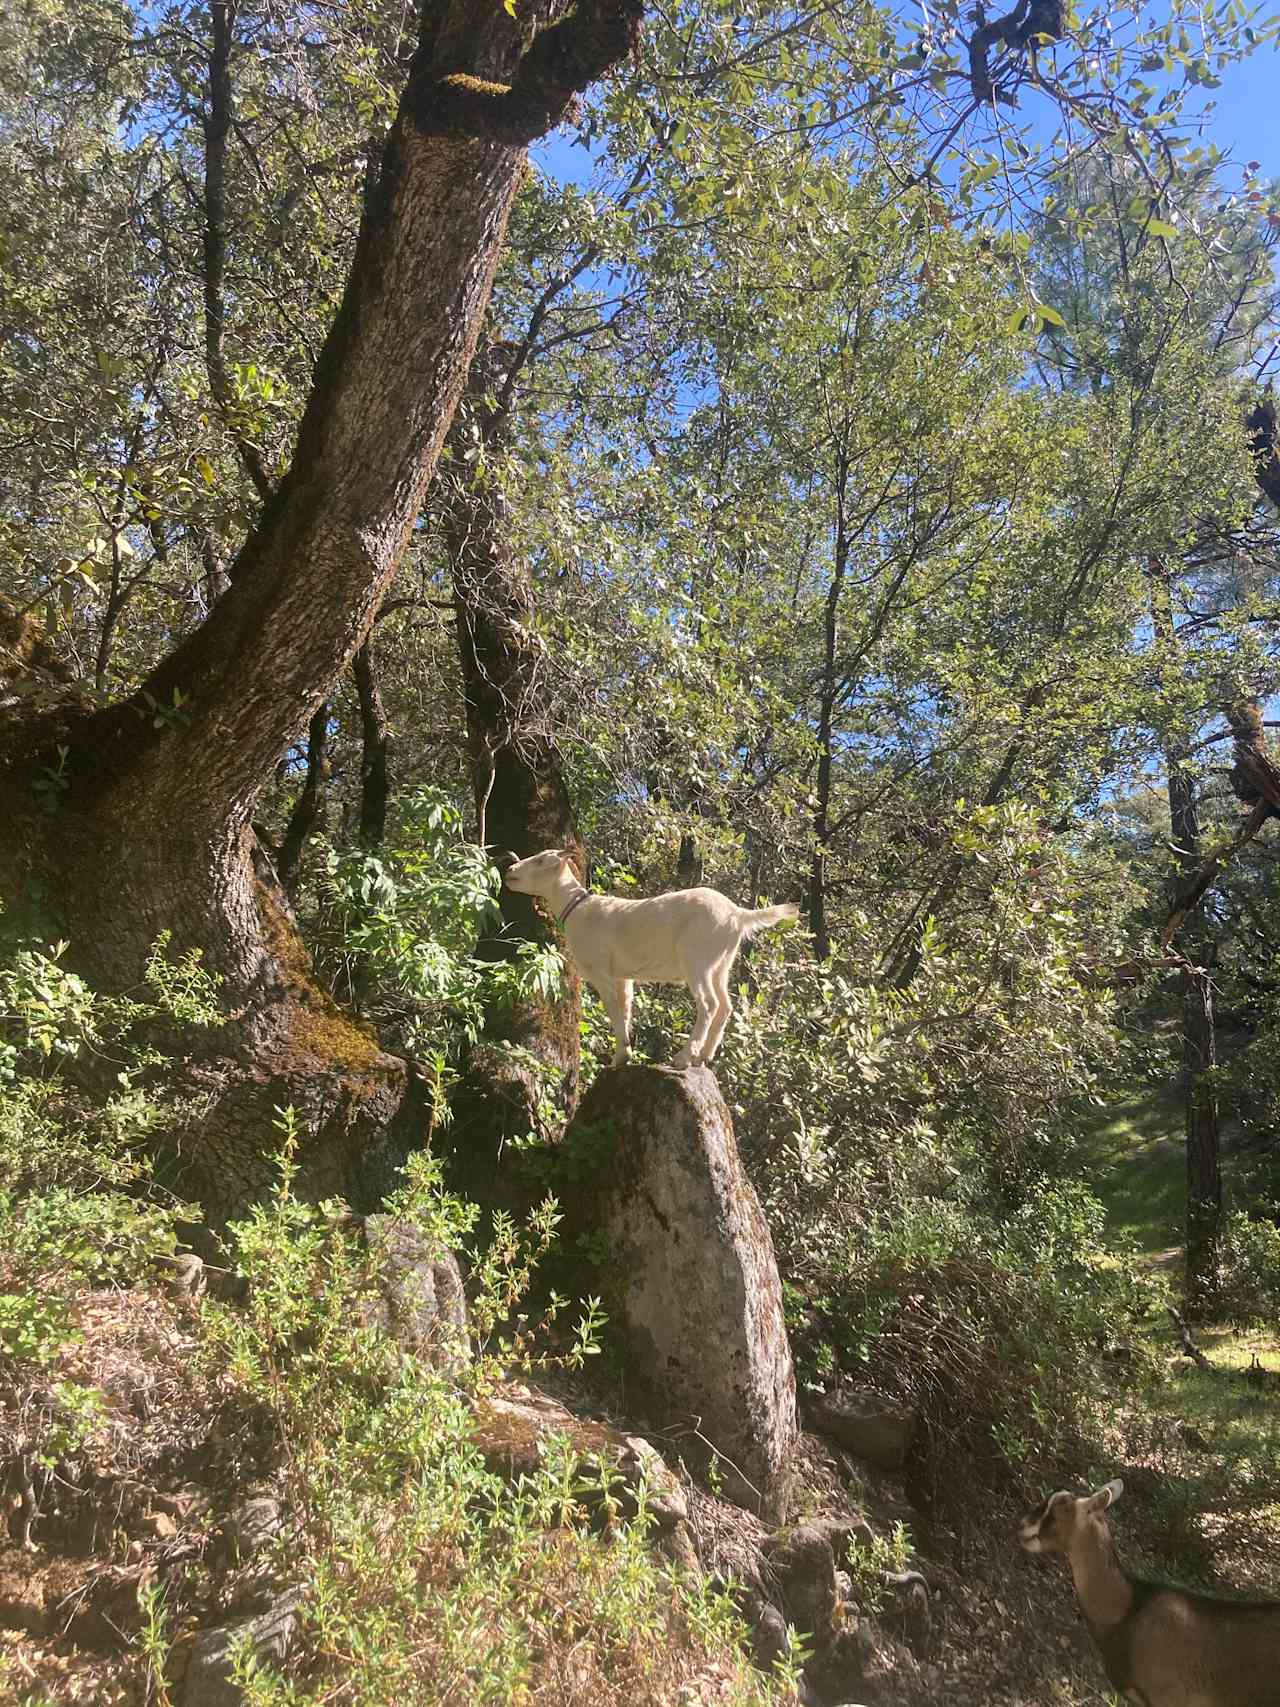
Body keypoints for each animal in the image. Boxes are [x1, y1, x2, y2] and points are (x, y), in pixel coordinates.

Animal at [505, 850, 798, 1071]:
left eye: (540, 860)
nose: (510, 870)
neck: (577, 910)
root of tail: (738, 914)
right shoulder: (623, 976)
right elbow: (625, 1008)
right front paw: (622, 1057)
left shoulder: (601, 971)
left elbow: (613, 1010)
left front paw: (621, 1056)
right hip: (720, 963)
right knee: (725, 1006)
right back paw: (703, 1057)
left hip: (697, 957)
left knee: (709, 1003)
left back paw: (683, 1058)